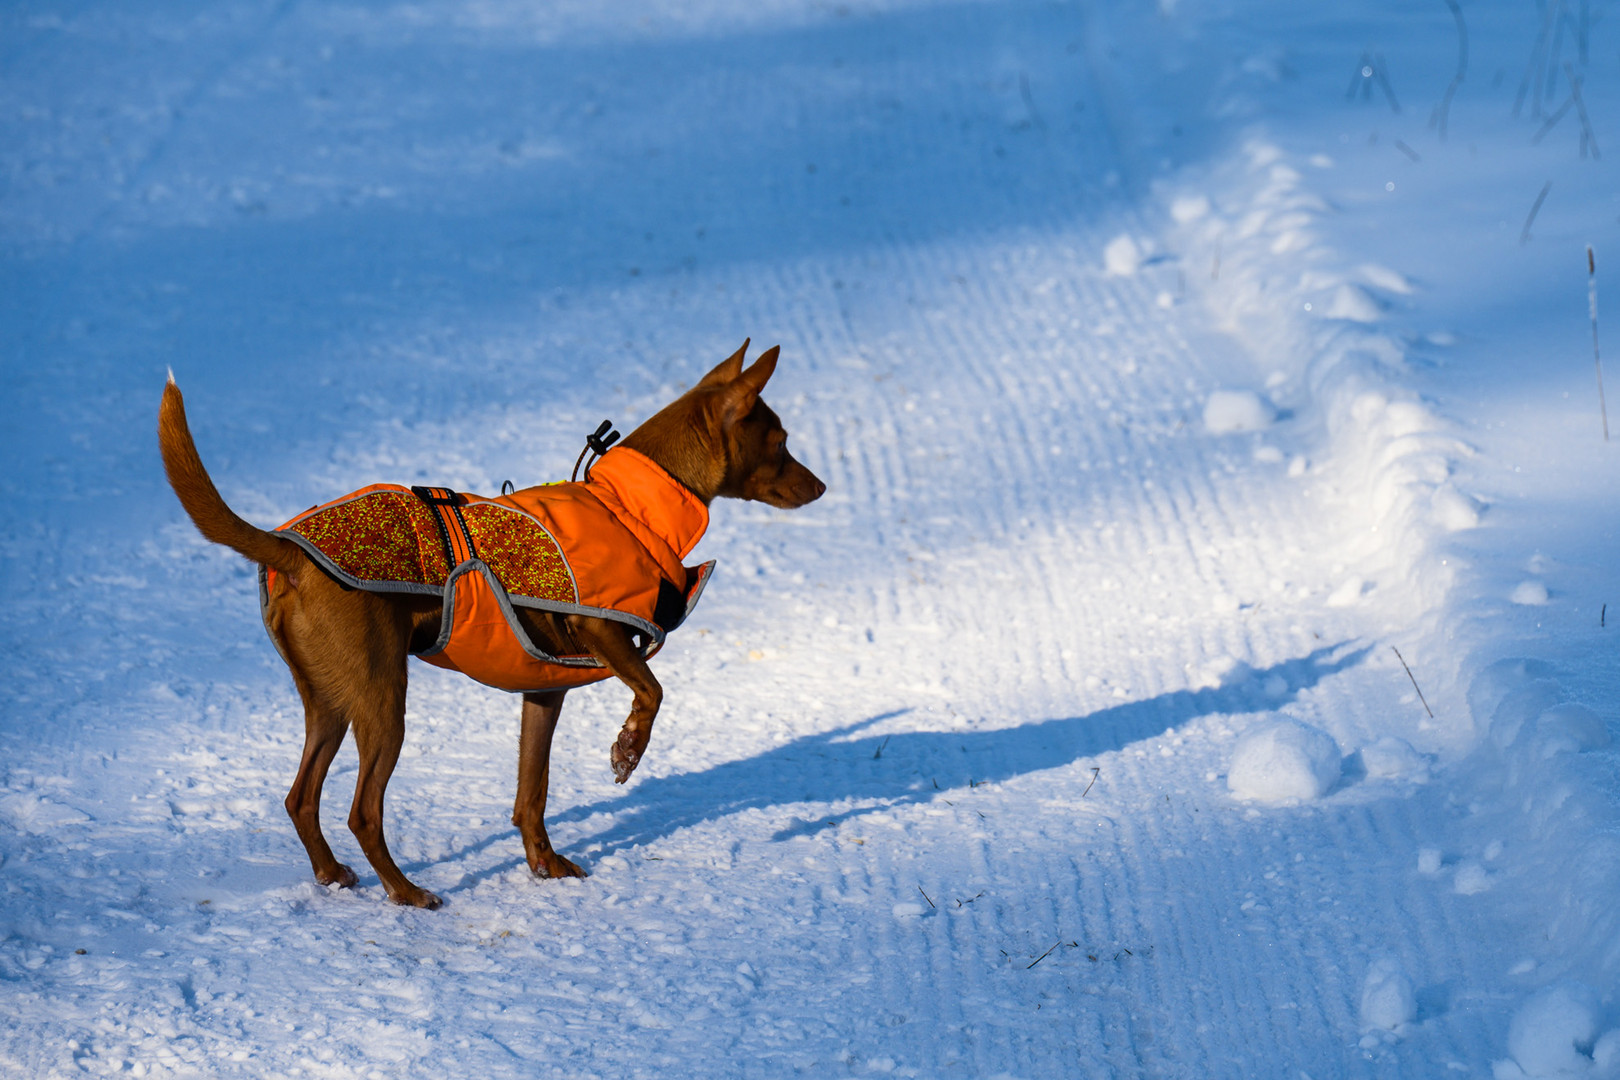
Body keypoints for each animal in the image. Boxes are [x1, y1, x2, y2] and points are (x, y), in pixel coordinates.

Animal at [161, 341, 822, 906]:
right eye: (782, 441)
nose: (819, 485)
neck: (630, 508)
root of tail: (289, 551)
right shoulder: (602, 631)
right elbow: (654, 691)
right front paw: (627, 750)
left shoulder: (544, 690)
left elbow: (533, 791)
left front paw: (544, 865)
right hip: (382, 699)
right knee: (362, 810)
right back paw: (405, 892)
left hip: (330, 699)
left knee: (300, 798)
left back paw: (331, 874)